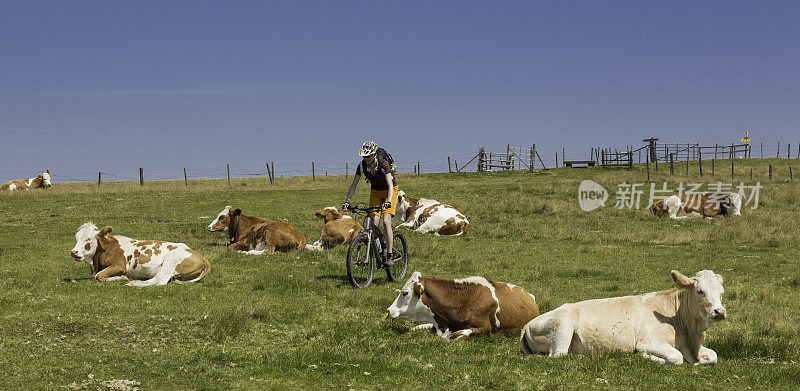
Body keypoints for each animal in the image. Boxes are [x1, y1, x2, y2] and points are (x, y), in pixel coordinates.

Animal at [69, 224, 211, 288]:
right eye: (76, 238)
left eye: (88, 239)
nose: (73, 252)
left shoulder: (119, 265)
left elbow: (98, 276)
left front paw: (122, 277)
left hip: (169, 264)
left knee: (159, 281)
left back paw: (133, 283)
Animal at [520, 270, 728, 364]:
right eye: (700, 291)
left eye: (722, 292)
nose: (720, 312)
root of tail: (527, 324)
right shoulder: (650, 342)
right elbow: (675, 357)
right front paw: (644, 356)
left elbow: (714, 356)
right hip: (562, 326)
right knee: (558, 355)